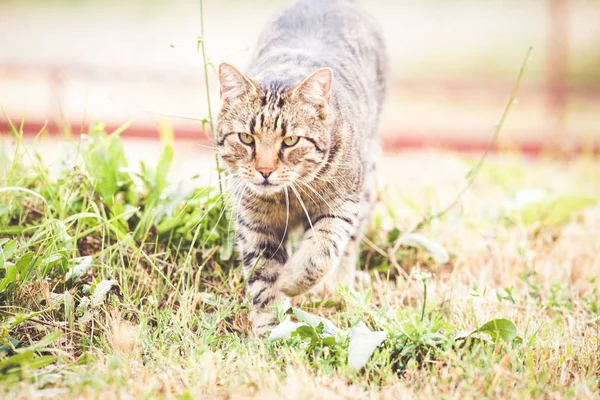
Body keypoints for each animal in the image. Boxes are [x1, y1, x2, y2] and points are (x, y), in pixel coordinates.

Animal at [216, 0, 390, 332]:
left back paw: (337, 286)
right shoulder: (254, 222)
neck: (290, 196)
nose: (265, 170)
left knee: (348, 247)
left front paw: (292, 281)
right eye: (246, 138)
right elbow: (263, 277)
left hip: (368, 181)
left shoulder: (342, 206)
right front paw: (269, 330)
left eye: (291, 141)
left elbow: (321, 252)